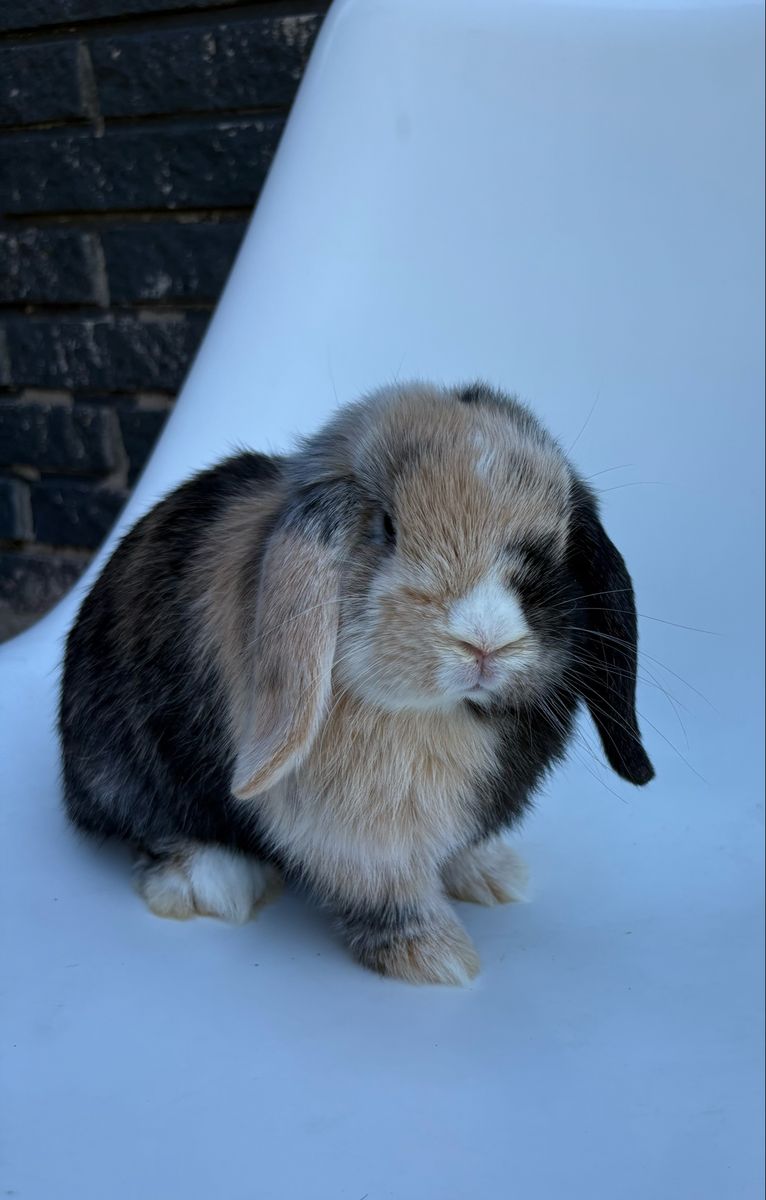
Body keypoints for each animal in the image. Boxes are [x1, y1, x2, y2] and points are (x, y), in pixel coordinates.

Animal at [59, 381, 654, 985]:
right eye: (387, 527)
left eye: (556, 542)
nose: (485, 640)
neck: (435, 713)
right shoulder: (360, 839)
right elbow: (390, 892)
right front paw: (437, 958)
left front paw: (492, 874)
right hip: (126, 766)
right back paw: (217, 883)